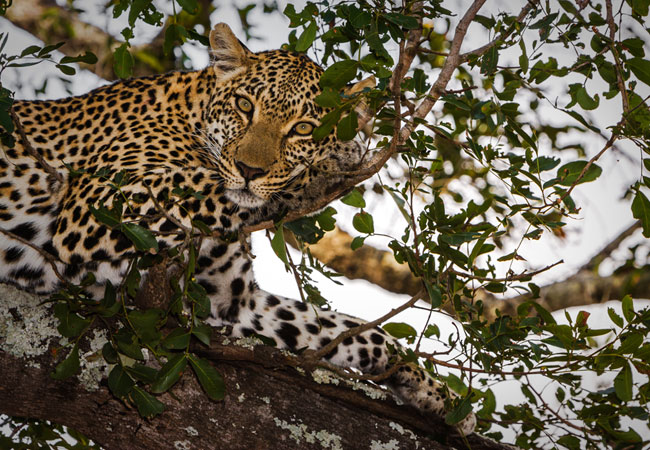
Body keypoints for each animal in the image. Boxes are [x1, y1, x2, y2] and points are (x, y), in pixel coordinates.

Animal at [0, 22, 476, 434]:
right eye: (245, 106)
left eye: (303, 128)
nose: (250, 170)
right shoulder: (97, 203)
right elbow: (207, 184)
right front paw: (330, 164)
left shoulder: (234, 302)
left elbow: (349, 328)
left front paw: (437, 394)